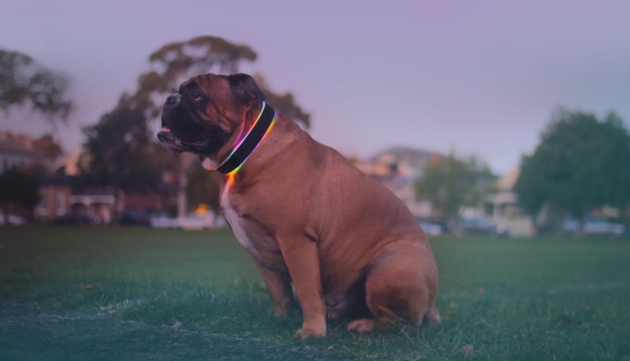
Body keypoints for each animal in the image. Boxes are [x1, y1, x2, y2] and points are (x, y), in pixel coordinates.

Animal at [160, 73, 442, 338]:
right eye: (180, 90)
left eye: (196, 95)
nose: (169, 99)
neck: (248, 150)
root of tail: (432, 305)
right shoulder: (257, 249)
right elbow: (278, 290)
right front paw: (283, 317)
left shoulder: (295, 241)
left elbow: (307, 291)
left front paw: (312, 331)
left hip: (386, 267)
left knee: (399, 323)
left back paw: (363, 325)